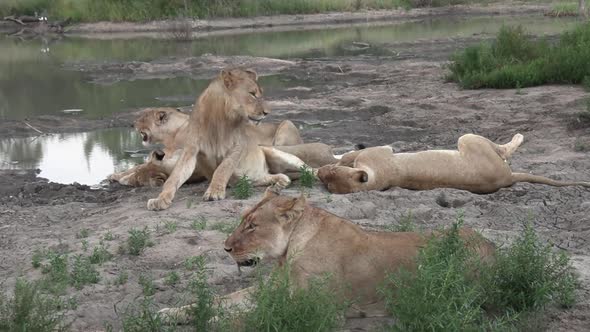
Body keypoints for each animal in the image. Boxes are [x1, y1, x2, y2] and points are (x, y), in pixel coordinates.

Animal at [160, 189, 498, 322]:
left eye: (253, 226)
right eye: (243, 219)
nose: (226, 248)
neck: (287, 254)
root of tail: (490, 245)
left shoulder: (316, 307)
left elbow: (245, 315)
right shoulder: (273, 289)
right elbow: (223, 300)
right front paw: (169, 312)